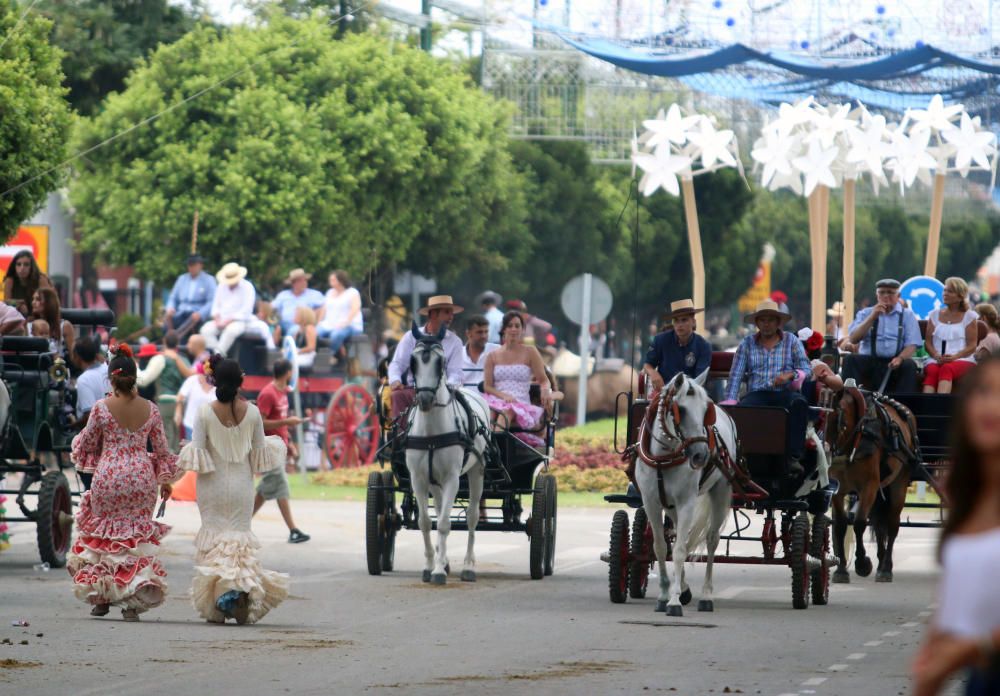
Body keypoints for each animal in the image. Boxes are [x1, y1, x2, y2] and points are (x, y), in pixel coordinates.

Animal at [402, 324, 488, 580]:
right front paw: (431, 564)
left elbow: (443, 524)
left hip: (477, 471)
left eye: (440, 362)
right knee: (440, 509)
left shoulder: (452, 478)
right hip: (434, 481)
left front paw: (439, 570)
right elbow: (425, 522)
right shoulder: (418, 479)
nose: (425, 399)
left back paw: (468, 565)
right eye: (413, 361)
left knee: (471, 517)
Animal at [636, 372, 740, 616]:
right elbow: (661, 547)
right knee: (674, 535)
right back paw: (683, 587)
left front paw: (673, 601)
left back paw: (706, 595)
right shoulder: (651, 502)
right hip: (671, 507)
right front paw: (666, 594)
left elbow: (680, 550)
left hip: (720, 490)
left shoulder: (687, 503)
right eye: (680, 410)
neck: (663, 457)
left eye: (705, 411)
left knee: (712, 540)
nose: (701, 455)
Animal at [824, 384, 916, 584]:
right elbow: (841, 525)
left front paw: (862, 563)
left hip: (898, 485)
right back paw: (881, 560)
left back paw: (886, 567)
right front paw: (841, 569)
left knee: (892, 525)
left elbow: (859, 523)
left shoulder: (869, 487)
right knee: (879, 525)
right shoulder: (837, 490)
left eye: (839, 422)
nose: (828, 455)